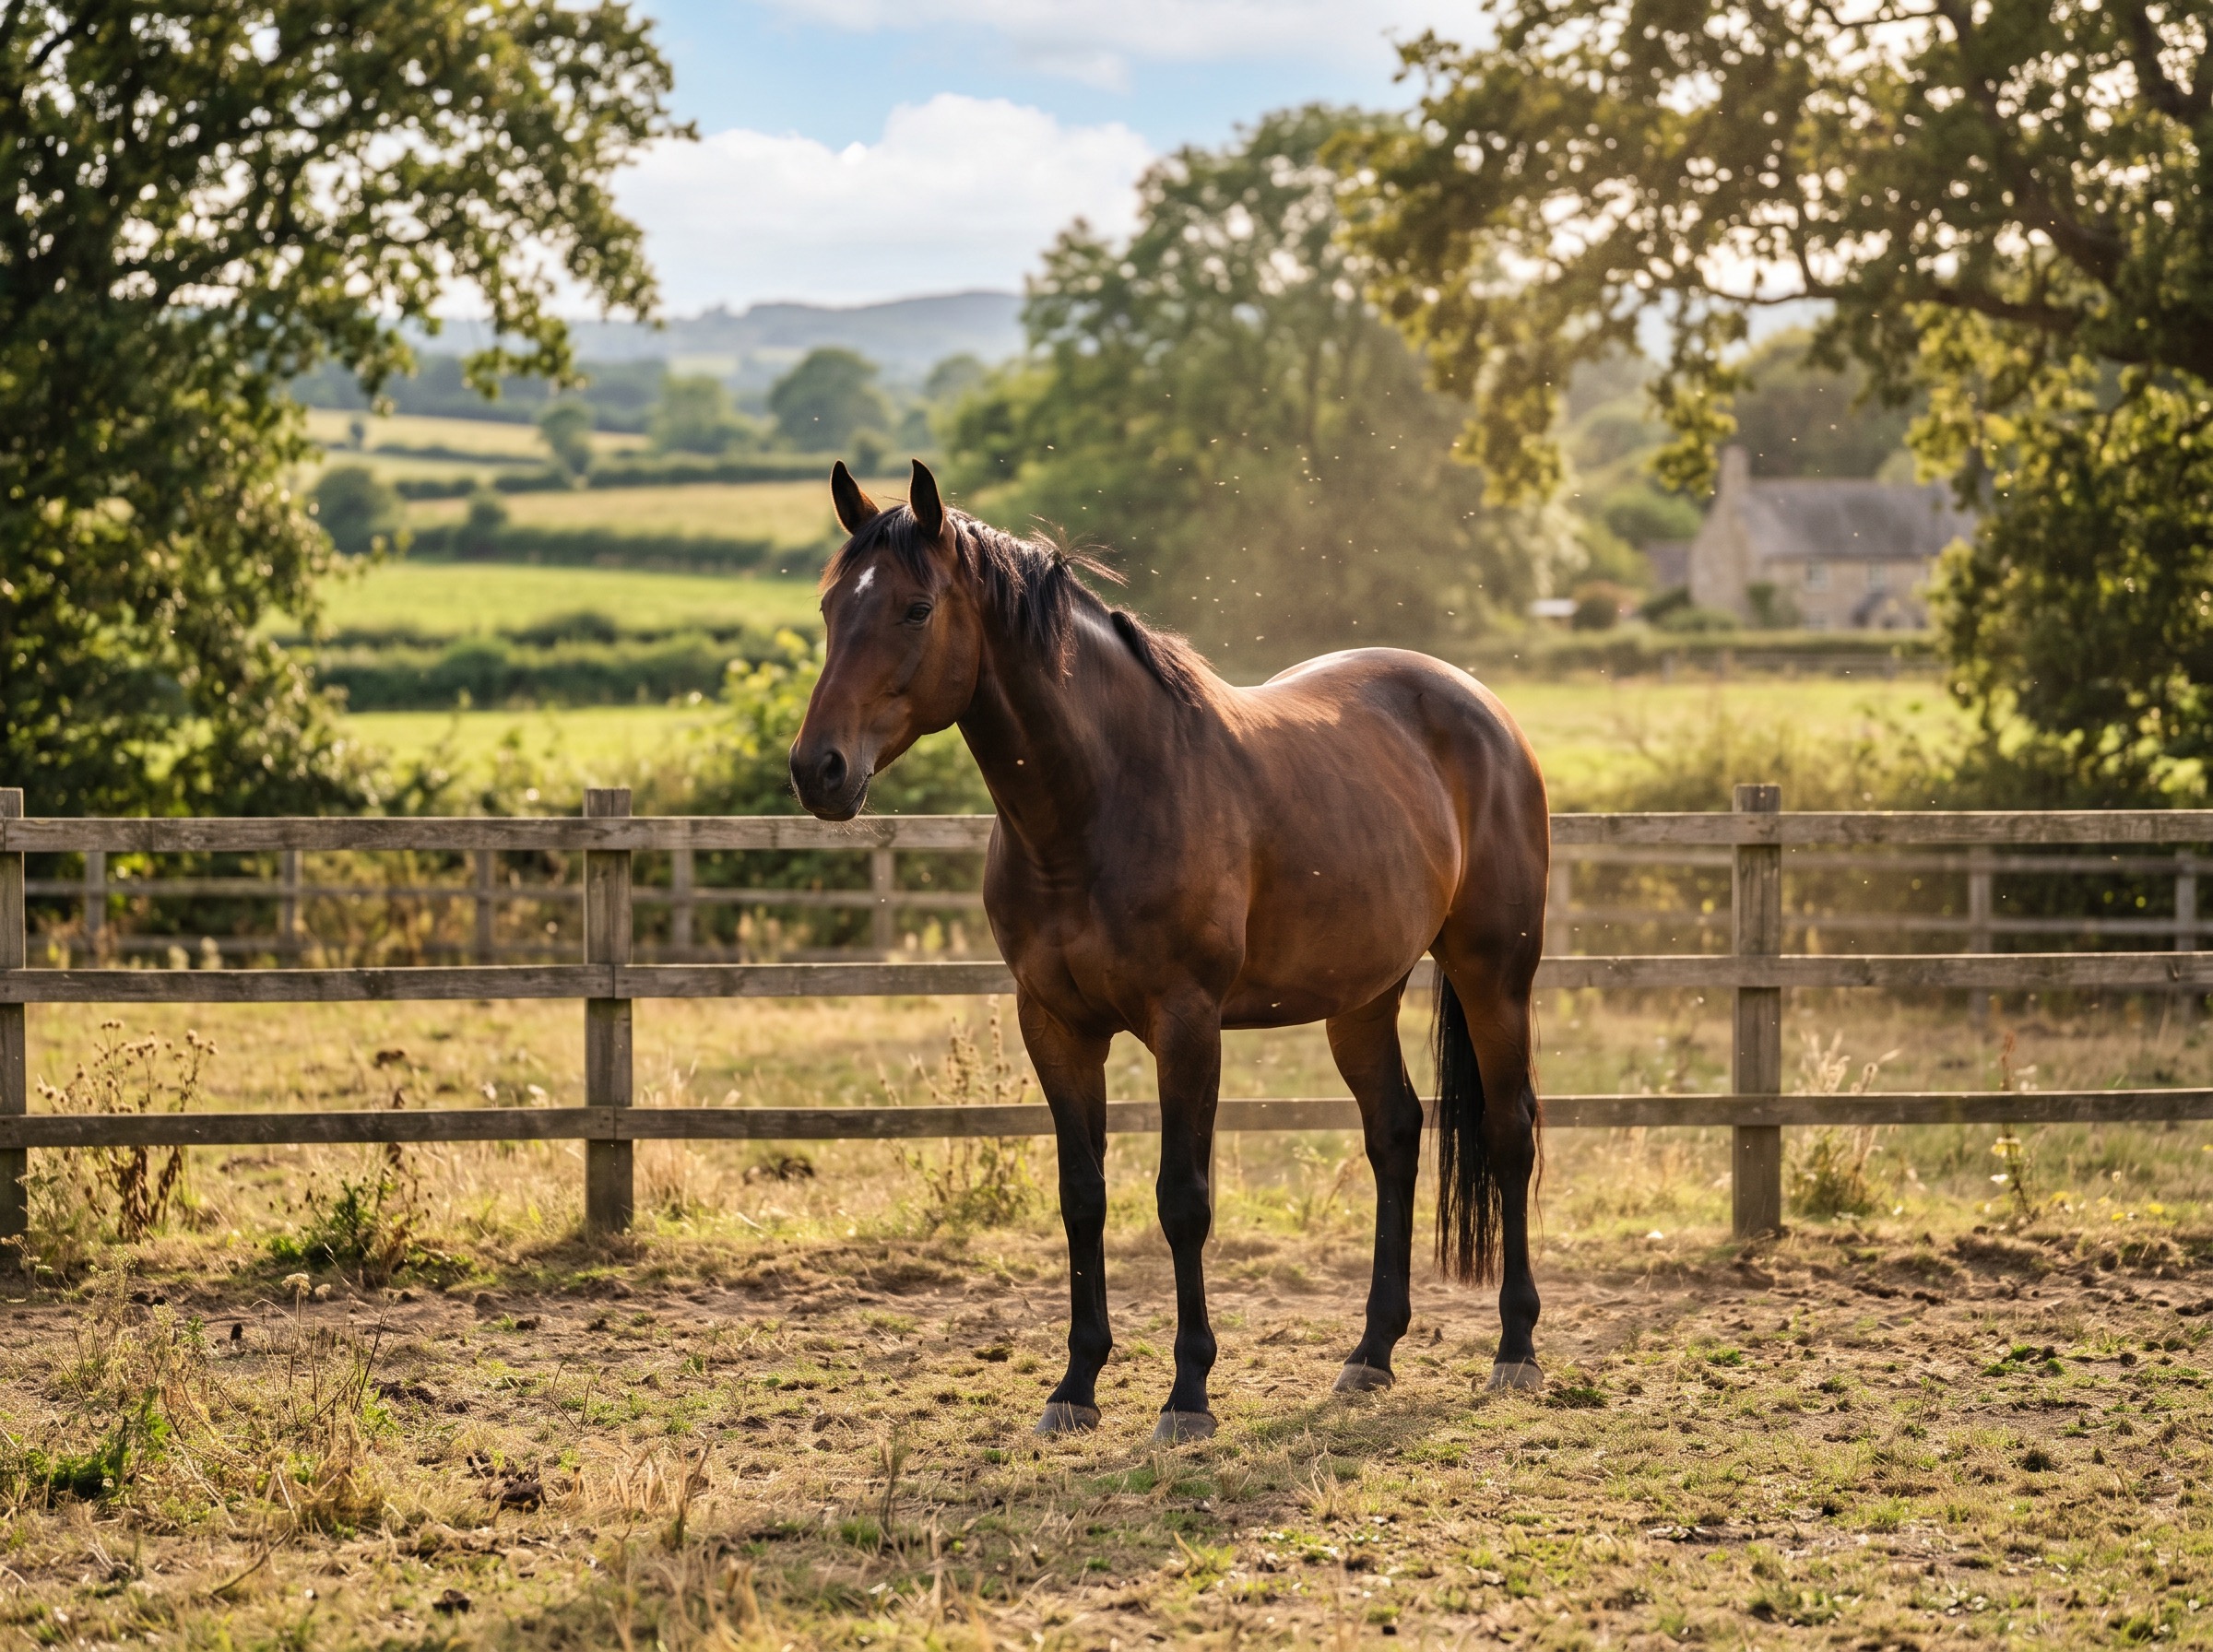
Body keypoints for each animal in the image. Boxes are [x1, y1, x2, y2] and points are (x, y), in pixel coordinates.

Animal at [790, 459, 1550, 1442]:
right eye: (829, 607)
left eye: (916, 609)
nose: (818, 770)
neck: (1101, 799)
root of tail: (1480, 706)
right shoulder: (1056, 1026)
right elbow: (1082, 1196)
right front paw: (1075, 1386)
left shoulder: (1186, 1025)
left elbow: (1182, 1200)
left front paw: (1188, 1394)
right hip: (1361, 997)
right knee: (1395, 1134)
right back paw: (1370, 1355)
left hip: (1496, 977)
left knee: (1508, 1132)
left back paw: (1515, 1349)